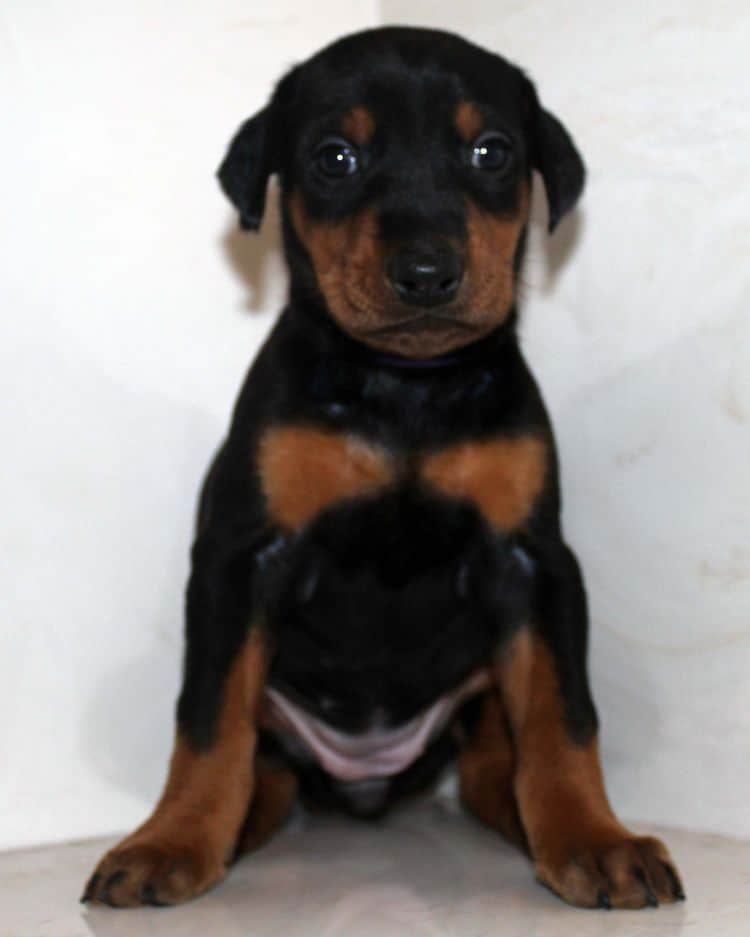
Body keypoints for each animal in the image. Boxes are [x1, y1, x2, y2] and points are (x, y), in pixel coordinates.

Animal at [82, 25, 688, 912]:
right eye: (334, 158)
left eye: (492, 151)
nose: (428, 273)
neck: (405, 386)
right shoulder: (240, 558)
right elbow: (207, 718)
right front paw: (170, 839)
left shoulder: (533, 561)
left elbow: (564, 716)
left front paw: (595, 839)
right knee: (260, 767)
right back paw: (230, 825)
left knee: (493, 768)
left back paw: (524, 814)